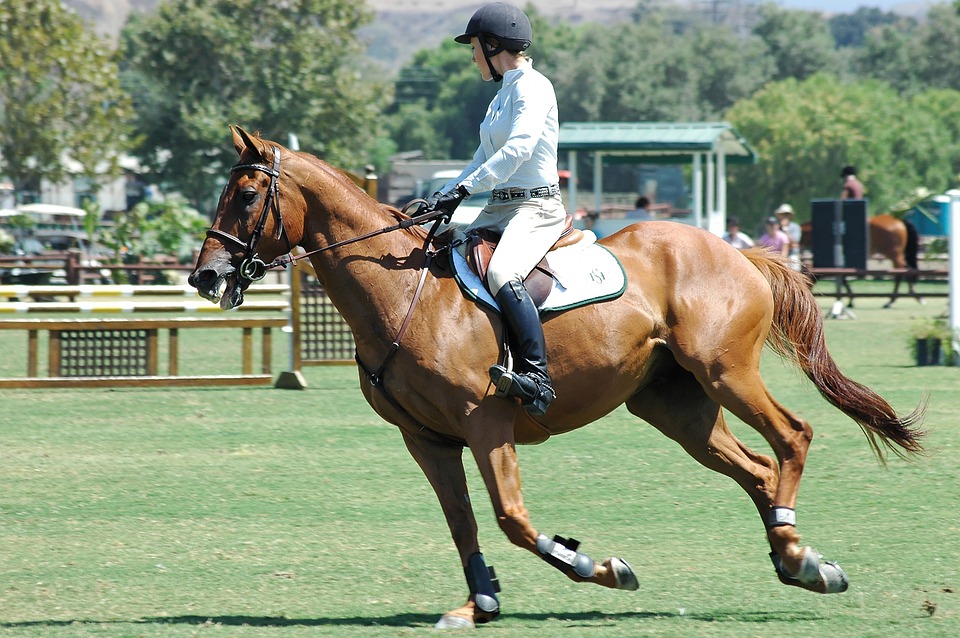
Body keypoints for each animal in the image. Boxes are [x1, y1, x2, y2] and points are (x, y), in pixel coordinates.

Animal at [188, 127, 924, 632]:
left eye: (246, 195)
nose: (205, 276)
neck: (405, 294)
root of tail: (739, 252)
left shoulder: (485, 423)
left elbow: (512, 519)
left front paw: (599, 567)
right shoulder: (427, 439)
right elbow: (462, 522)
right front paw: (479, 602)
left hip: (725, 374)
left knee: (792, 437)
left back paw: (797, 554)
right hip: (675, 406)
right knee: (757, 470)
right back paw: (801, 562)